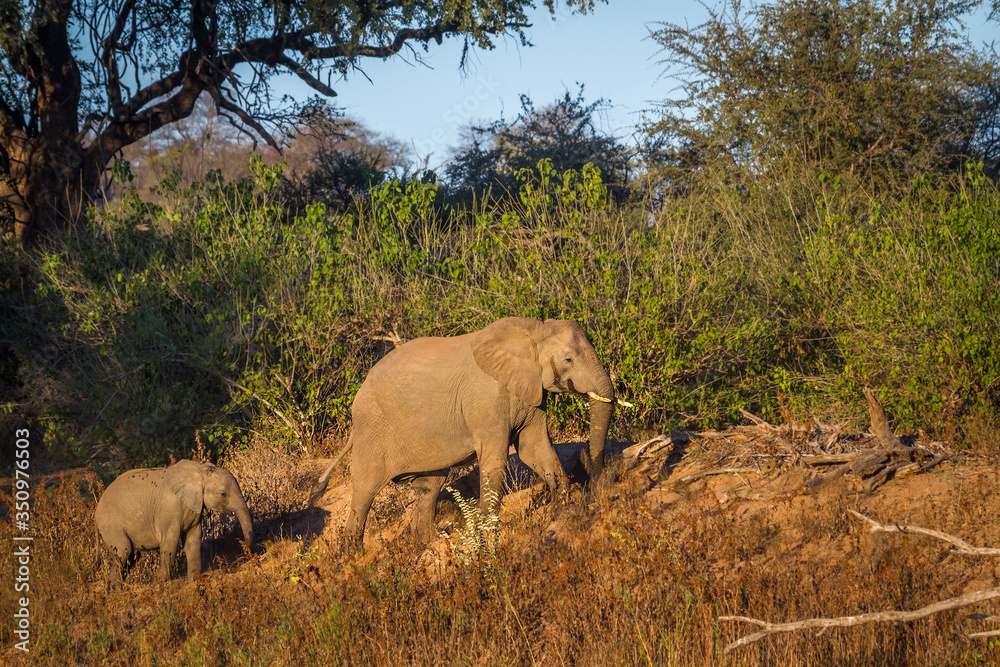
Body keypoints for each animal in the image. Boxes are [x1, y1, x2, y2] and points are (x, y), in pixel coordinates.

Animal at [94, 459, 254, 589]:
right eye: (223, 495)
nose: (243, 549)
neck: (199, 470)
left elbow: (192, 542)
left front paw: (193, 582)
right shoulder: (169, 509)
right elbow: (170, 544)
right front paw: (155, 587)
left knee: (131, 556)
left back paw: (113, 592)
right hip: (109, 522)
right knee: (124, 550)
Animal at [308, 316, 615, 549]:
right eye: (568, 360)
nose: (597, 479)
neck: (532, 331)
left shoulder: (532, 392)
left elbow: (535, 448)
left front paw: (563, 506)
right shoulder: (485, 398)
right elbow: (494, 459)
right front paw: (486, 528)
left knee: (429, 486)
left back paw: (428, 543)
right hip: (372, 430)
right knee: (364, 492)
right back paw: (352, 557)